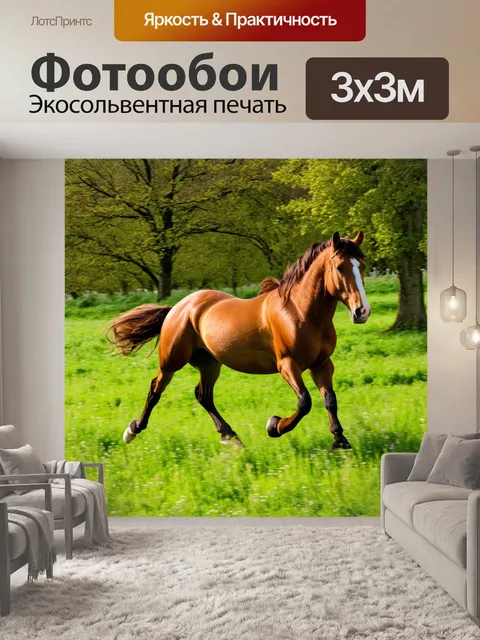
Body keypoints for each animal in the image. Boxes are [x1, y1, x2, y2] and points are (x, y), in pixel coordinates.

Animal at [108, 231, 370, 451]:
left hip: (209, 363)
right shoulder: (287, 364)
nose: (362, 311)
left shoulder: (322, 363)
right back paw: (132, 430)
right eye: (340, 267)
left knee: (203, 395)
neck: (300, 313)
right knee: (155, 389)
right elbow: (304, 402)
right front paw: (274, 426)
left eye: (362, 266)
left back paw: (230, 436)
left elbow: (330, 399)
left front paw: (340, 440)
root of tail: (179, 307)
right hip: (172, 360)